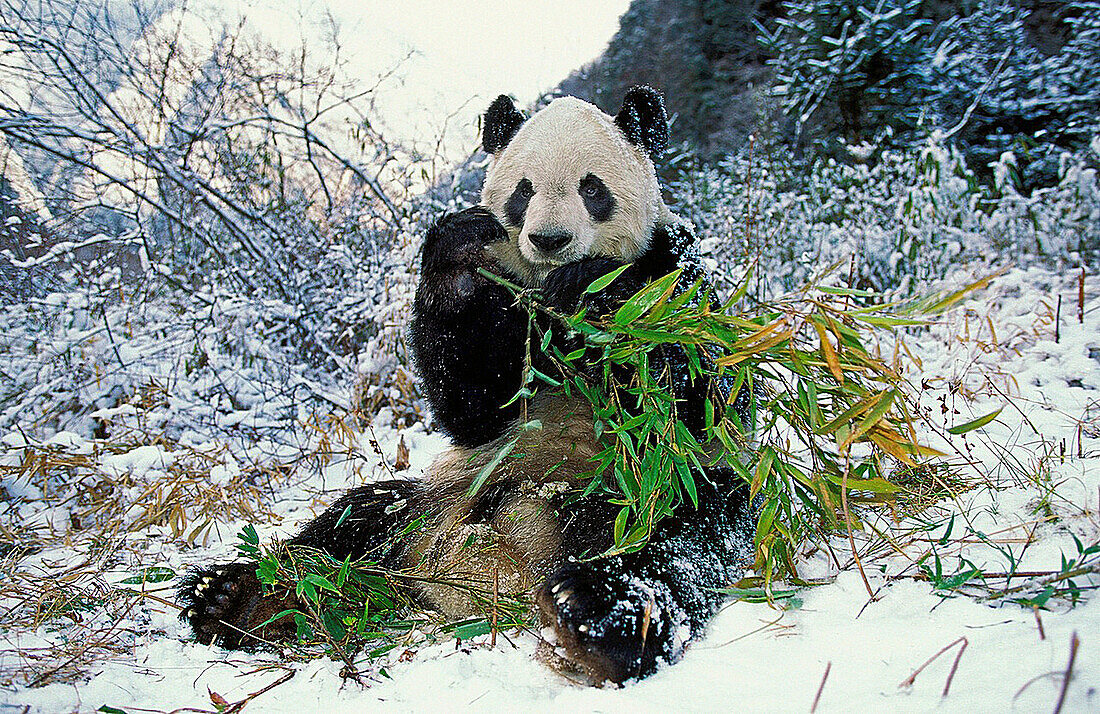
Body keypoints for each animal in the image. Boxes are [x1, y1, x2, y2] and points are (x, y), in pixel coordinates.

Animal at [187, 86, 756, 682]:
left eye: (592, 188)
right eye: (524, 191)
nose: (549, 240)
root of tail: (490, 580)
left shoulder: (675, 270)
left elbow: (698, 396)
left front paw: (595, 291)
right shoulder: (503, 319)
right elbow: (473, 403)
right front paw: (461, 257)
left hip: (648, 491)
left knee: (678, 542)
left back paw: (595, 617)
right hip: (436, 500)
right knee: (354, 524)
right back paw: (238, 597)